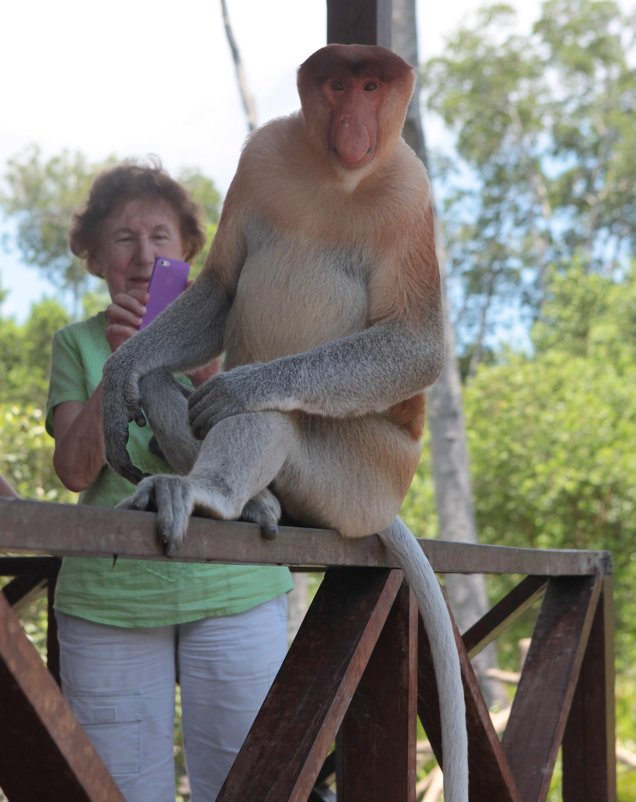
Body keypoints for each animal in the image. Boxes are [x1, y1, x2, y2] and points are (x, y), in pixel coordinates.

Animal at [103, 45, 468, 800]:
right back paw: (256, 504)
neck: (335, 176)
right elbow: (219, 286)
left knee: (278, 420)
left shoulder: (410, 192)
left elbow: (418, 342)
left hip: (364, 478)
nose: (354, 124)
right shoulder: (263, 156)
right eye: (336, 85)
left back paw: (211, 492)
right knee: (167, 387)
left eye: (371, 85)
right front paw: (118, 377)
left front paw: (246, 383)